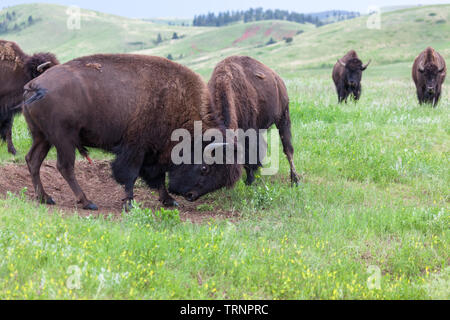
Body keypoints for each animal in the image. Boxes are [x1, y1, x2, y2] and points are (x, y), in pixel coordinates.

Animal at [169, 55, 302, 200]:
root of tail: (277, 78)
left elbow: (249, 157)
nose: (177, 191)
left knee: (288, 149)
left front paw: (249, 182)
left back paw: (295, 180)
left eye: (204, 168)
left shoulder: (249, 134)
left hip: (283, 117)